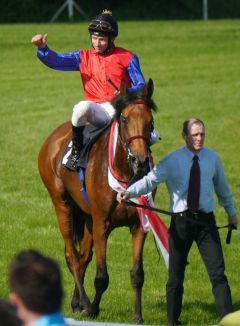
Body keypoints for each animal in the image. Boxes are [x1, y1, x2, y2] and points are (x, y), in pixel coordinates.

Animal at [38, 79, 157, 324]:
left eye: (150, 122)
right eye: (124, 119)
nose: (140, 161)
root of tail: (53, 137)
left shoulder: (139, 226)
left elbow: (137, 274)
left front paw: (137, 316)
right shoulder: (102, 223)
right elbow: (102, 276)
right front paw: (92, 308)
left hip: (86, 216)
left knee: (83, 256)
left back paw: (76, 302)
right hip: (61, 204)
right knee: (72, 256)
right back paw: (83, 301)